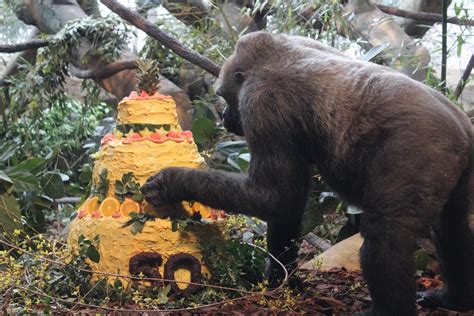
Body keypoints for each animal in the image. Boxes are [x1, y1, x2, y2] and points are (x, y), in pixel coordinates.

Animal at [142, 31, 474, 314]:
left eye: (224, 96)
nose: (224, 116)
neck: (269, 57)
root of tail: (462, 127)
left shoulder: (262, 102)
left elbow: (274, 197)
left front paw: (173, 181)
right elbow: (284, 209)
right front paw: (278, 281)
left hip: (417, 148)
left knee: (386, 233)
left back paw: (387, 311)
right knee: (451, 226)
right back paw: (454, 298)